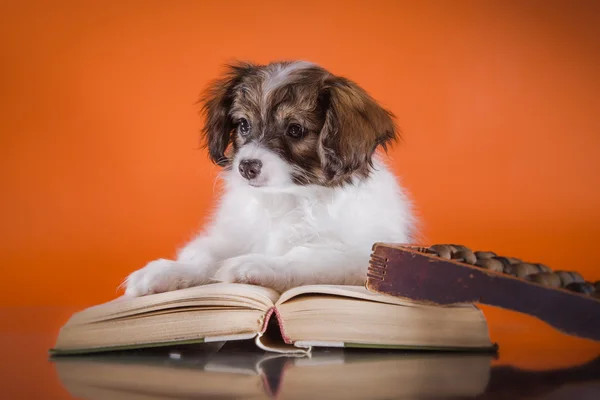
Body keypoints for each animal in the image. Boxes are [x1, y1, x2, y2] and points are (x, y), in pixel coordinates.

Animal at [123, 60, 418, 296]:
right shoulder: (234, 235)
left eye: (295, 130)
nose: (246, 167)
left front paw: (256, 264)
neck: (286, 199)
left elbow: (301, 255)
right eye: (243, 125)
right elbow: (203, 256)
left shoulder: (358, 254)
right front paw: (164, 272)